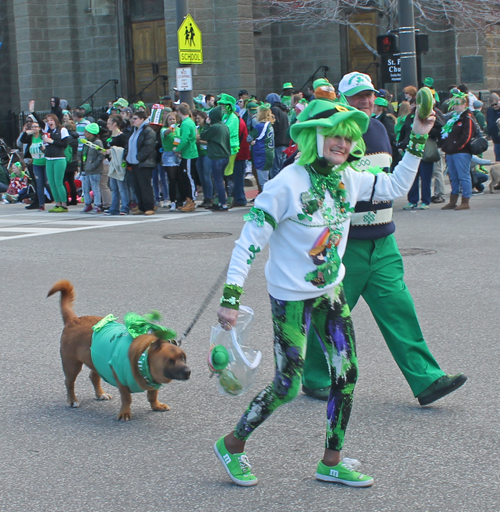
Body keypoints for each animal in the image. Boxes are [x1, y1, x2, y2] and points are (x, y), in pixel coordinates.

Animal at [47, 280, 190, 420]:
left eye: (183, 357)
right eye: (170, 360)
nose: (188, 372)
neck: (143, 358)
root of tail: (74, 319)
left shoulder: (153, 383)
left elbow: (153, 395)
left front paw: (156, 405)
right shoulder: (122, 382)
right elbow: (127, 398)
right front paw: (125, 413)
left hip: (97, 360)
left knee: (94, 377)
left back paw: (100, 394)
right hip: (72, 365)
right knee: (69, 382)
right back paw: (72, 400)